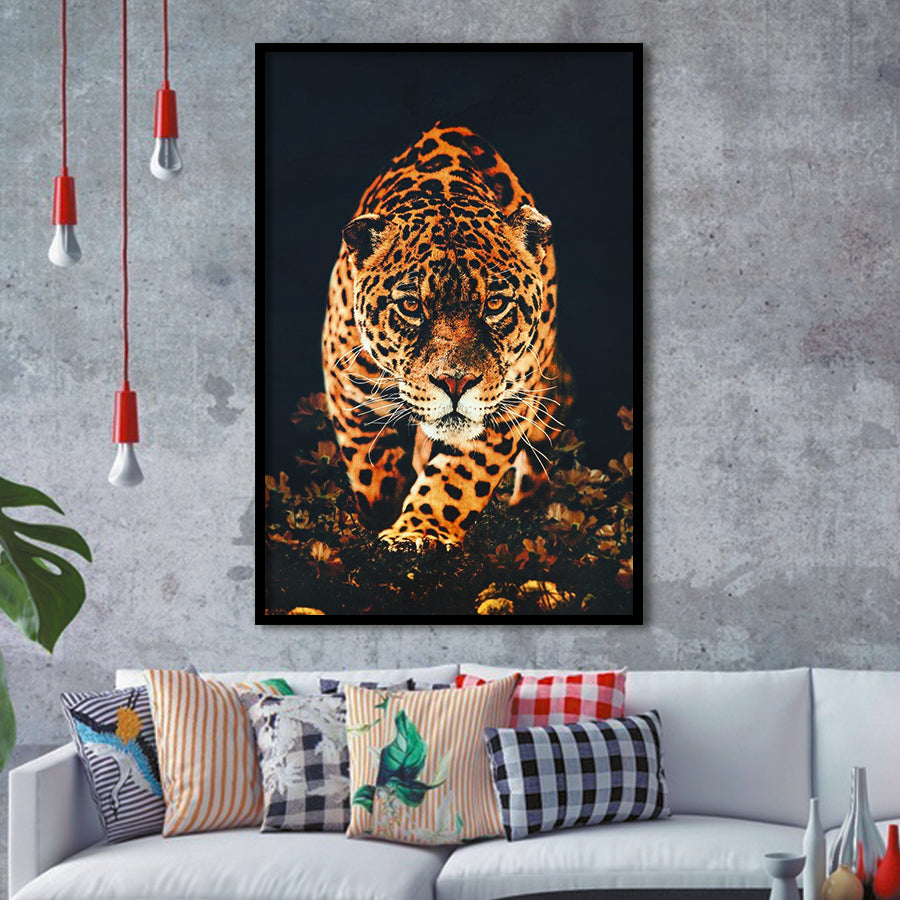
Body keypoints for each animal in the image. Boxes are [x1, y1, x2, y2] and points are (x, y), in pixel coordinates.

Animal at [321, 123, 574, 547]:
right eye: (411, 306)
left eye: (495, 304)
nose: (455, 383)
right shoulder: (349, 383)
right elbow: (371, 464)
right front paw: (381, 514)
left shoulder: (509, 401)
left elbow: (459, 478)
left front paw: (417, 531)